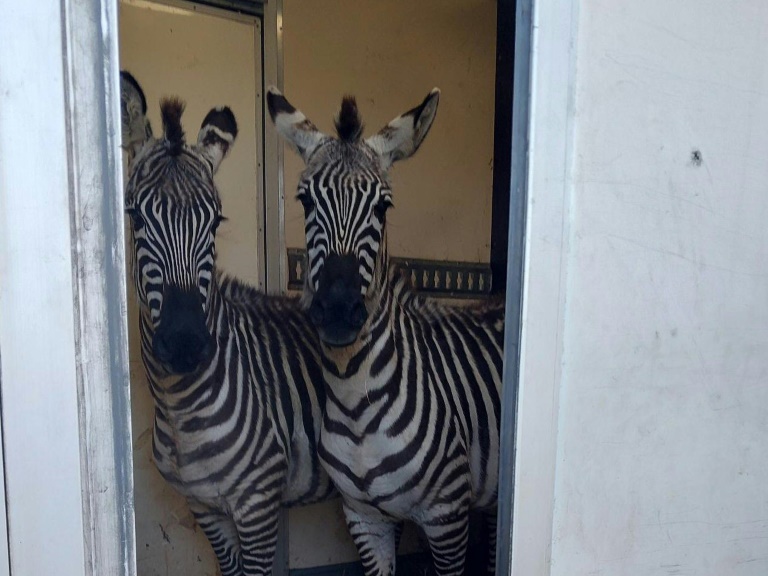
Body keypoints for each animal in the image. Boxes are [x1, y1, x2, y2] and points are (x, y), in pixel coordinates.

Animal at [120, 71, 335, 576]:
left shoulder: (257, 506)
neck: (179, 409)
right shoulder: (206, 509)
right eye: (135, 215)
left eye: (216, 222)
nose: (185, 343)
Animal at [267, 87, 505, 575]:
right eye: (304, 202)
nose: (339, 311)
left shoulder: (447, 518)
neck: (356, 403)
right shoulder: (364, 518)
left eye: (382, 207)